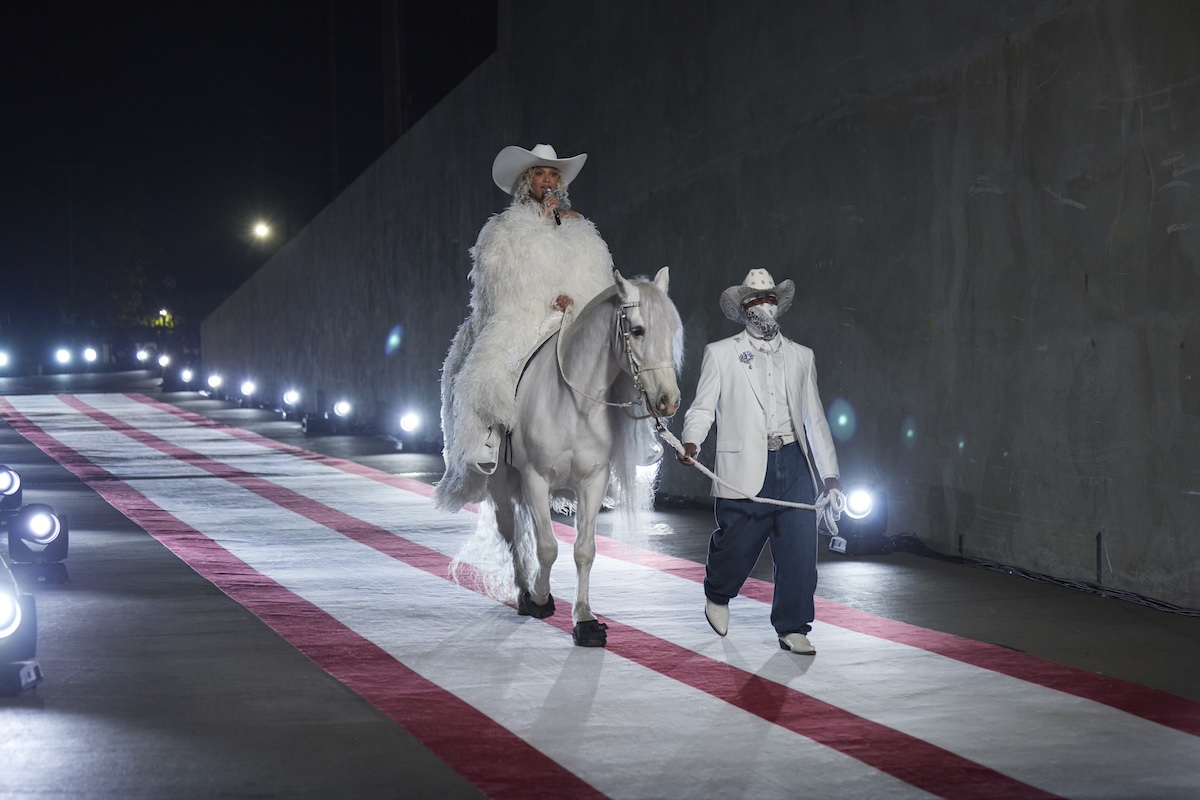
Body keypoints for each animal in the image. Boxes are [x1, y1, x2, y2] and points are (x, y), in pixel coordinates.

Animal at [482, 266, 681, 647]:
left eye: (672, 330)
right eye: (637, 330)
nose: (669, 401)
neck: (575, 405)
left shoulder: (593, 481)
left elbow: (584, 550)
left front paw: (584, 620)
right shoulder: (535, 478)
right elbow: (547, 546)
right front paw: (540, 598)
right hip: (502, 480)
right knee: (512, 530)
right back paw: (523, 590)